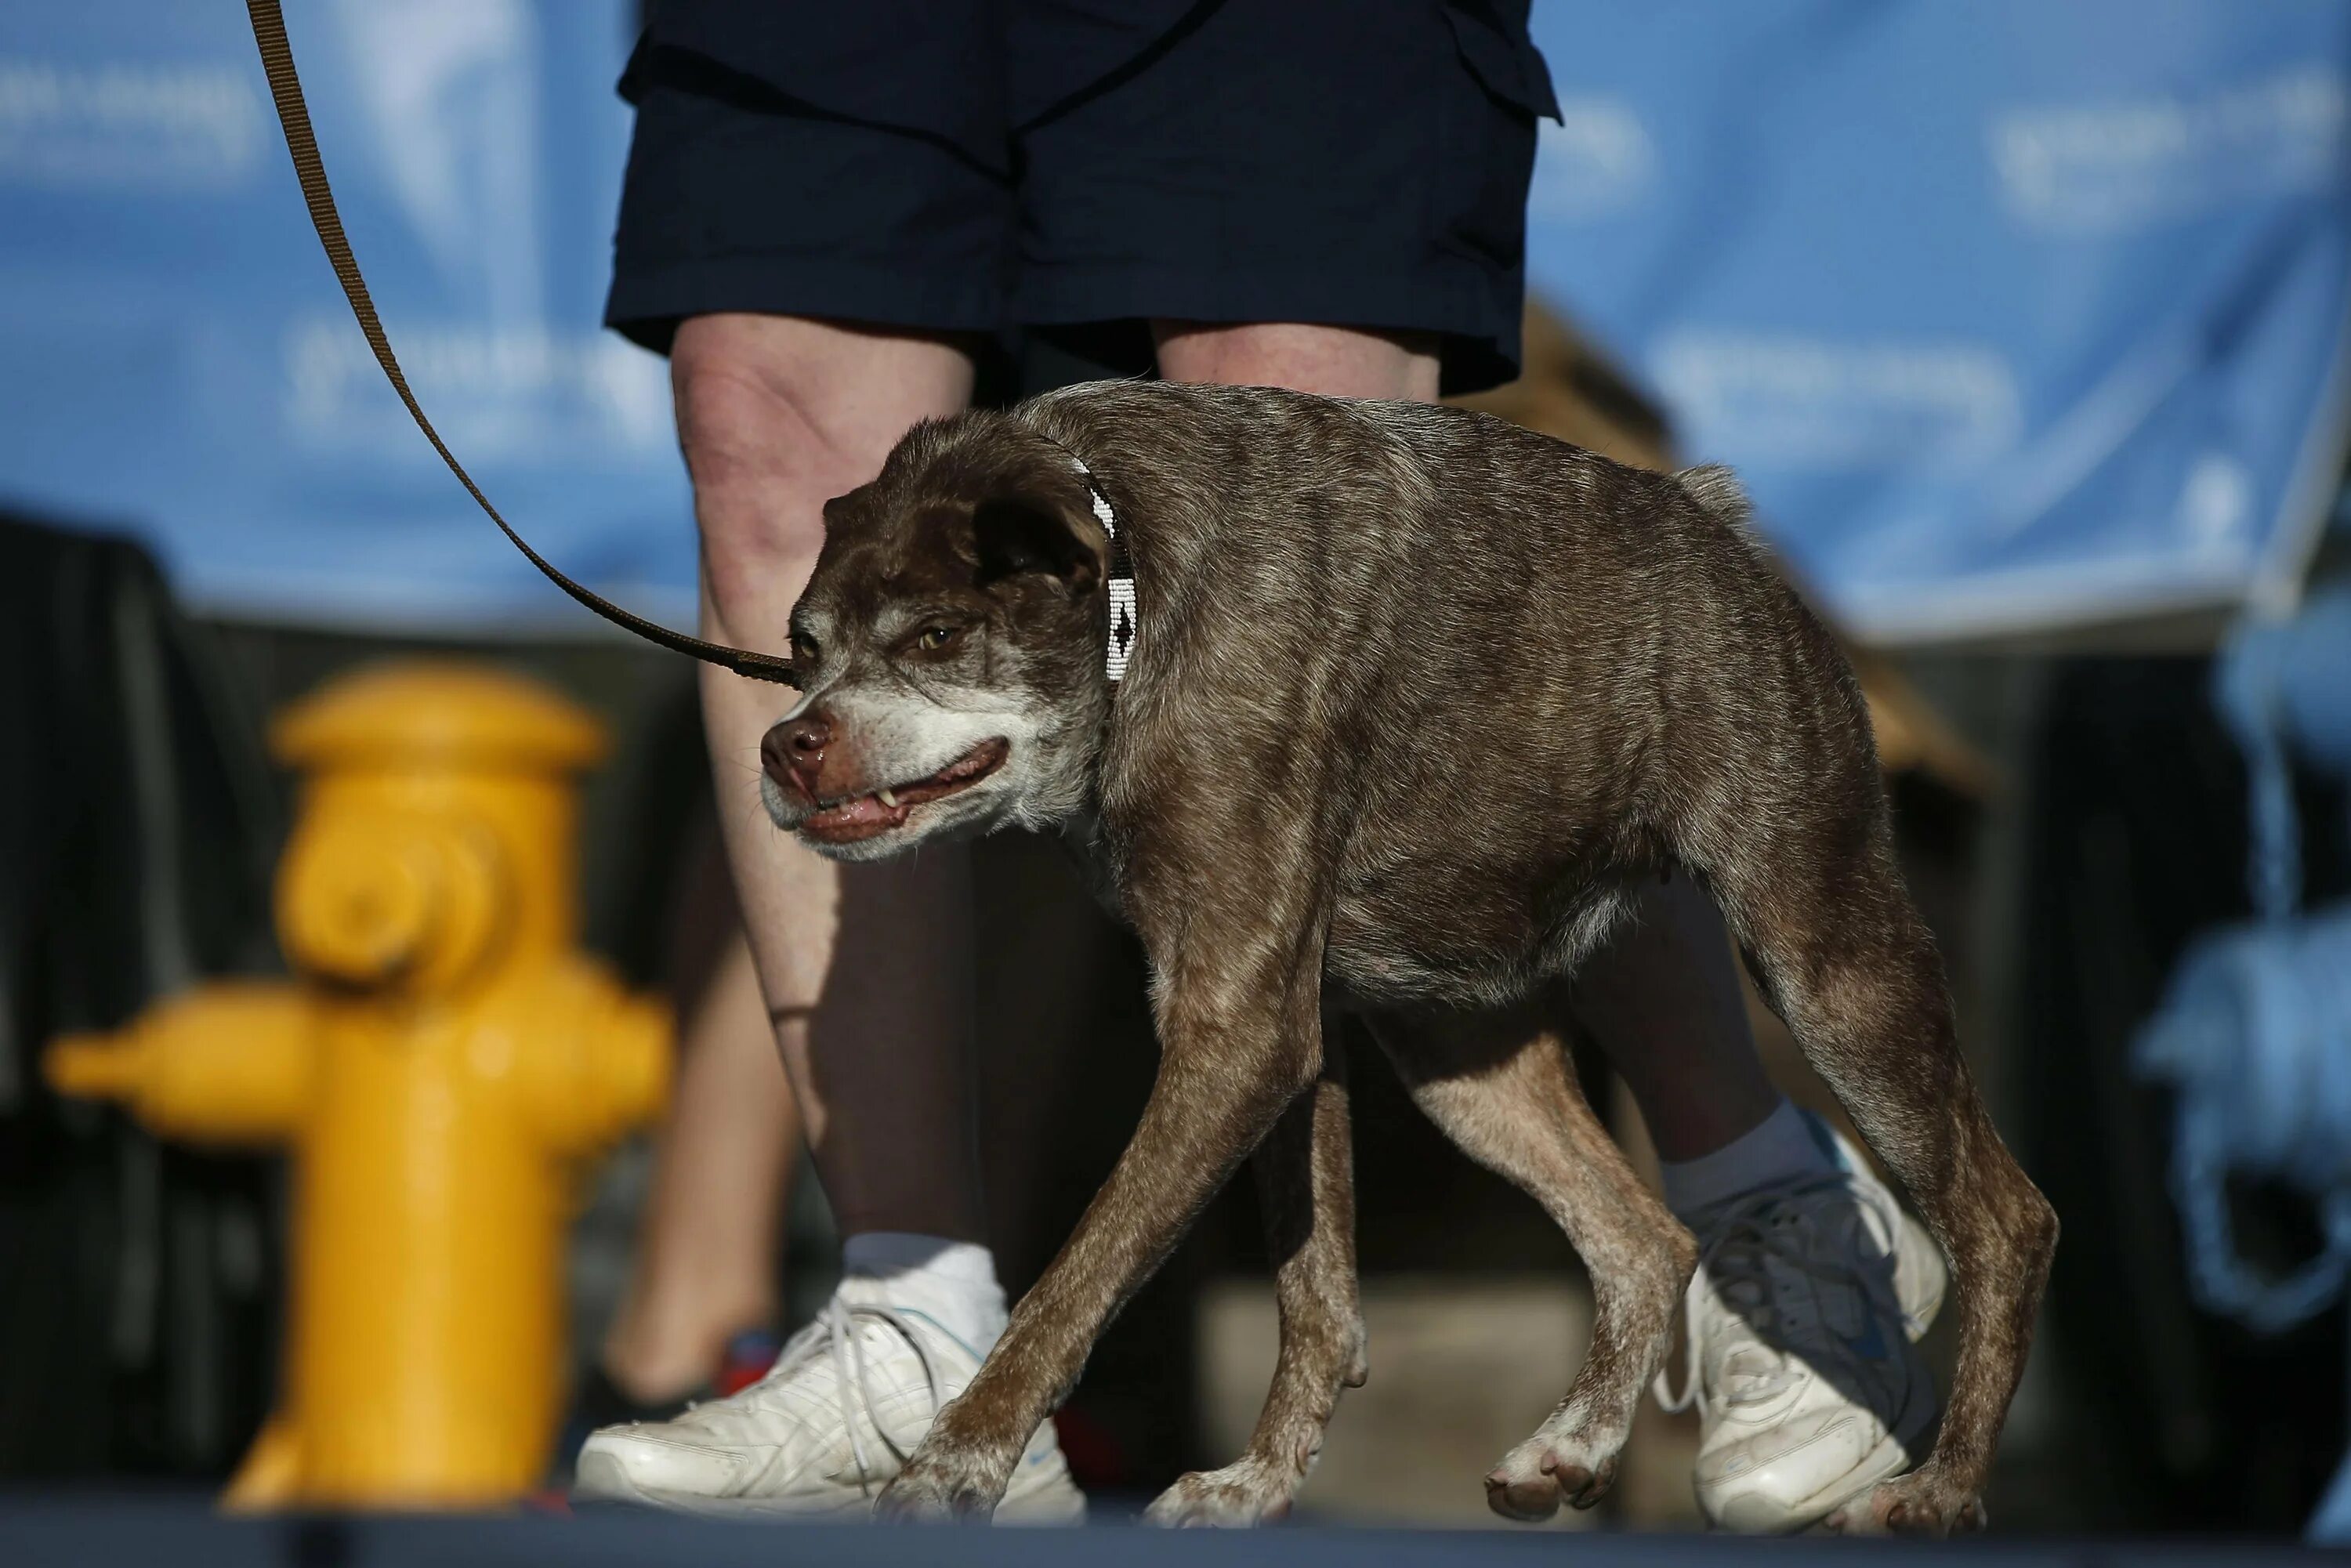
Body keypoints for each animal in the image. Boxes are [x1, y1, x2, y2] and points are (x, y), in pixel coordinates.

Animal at [757, 381, 2059, 1533]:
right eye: (801, 647)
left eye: (939, 635)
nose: (786, 745)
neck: (1135, 581)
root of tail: (1724, 532)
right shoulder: (1271, 1024)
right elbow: (1317, 1293)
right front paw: (1257, 1484)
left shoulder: (1239, 1037)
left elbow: (1069, 1288)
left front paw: (952, 1469)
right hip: (1455, 1054)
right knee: (1646, 1240)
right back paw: (1570, 1444)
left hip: (1831, 971)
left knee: (2009, 1220)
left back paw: (1939, 1491)